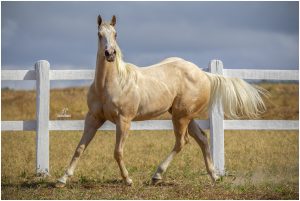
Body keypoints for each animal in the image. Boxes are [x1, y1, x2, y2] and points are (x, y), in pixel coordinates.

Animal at [55, 15, 266, 187]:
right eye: (99, 34)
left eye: (116, 34)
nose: (110, 54)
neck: (111, 84)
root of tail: (204, 74)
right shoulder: (93, 118)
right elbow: (79, 148)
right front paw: (62, 180)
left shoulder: (124, 121)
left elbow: (117, 151)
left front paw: (128, 180)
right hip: (184, 116)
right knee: (202, 138)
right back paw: (213, 177)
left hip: (181, 117)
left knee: (182, 142)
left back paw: (157, 175)